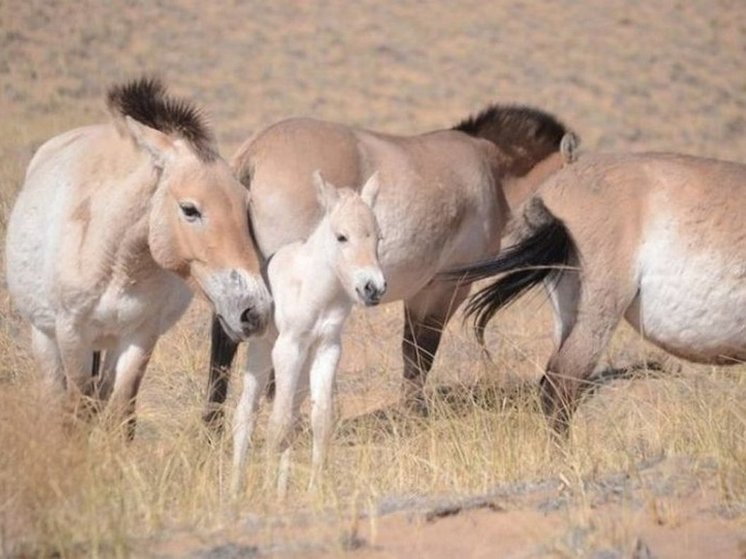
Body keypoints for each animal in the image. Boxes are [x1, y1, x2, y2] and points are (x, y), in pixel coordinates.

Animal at [4, 77, 272, 438]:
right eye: (190, 209)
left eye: (246, 204)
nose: (255, 310)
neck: (117, 264)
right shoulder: (72, 334)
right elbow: (76, 412)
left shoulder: (140, 337)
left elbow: (120, 413)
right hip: (45, 337)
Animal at [203, 106, 576, 428]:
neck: (492, 170)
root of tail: (255, 153)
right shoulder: (446, 289)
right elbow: (423, 352)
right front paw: (416, 414)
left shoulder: (419, 293)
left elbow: (411, 351)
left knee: (226, 335)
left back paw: (214, 425)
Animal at [232, 171, 384, 494]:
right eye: (342, 237)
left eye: (378, 237)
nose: (373, 288)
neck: (317, 288)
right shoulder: (287, 348)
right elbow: (276, 424)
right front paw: (265, 492)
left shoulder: (328, 348)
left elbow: (320, 420)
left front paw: (315, 490)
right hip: (263, 352)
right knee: (246, 414)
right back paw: (234, 490)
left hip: (302, 366)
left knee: (293, 415)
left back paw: (281, 491)